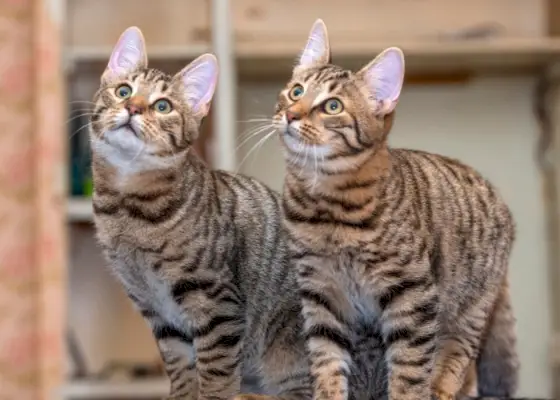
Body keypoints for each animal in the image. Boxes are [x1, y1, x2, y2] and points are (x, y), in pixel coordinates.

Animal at [92, 27, 388, 400]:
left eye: (162, 106)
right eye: (123, 91)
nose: (132, 107)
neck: (127, 207)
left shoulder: (214, 300)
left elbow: (215, 370)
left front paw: (212, 394)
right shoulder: (156, 311)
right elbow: (180, 369)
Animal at [274, 19, 520, 400]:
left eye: (332, 106)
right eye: (296, 91)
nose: (290, 114)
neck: (326, 207)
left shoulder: (412, 294)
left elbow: (409, 368)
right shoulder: (321, 292)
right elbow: (326, 360)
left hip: (471, 307)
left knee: (457, 356)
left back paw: (443, 388)